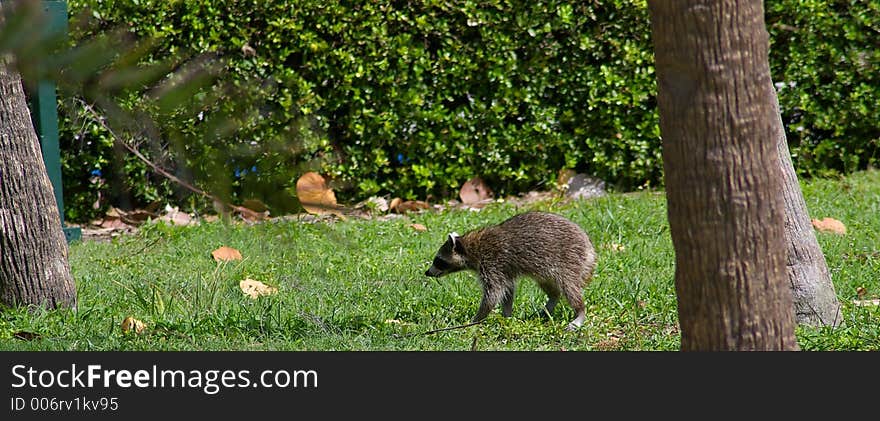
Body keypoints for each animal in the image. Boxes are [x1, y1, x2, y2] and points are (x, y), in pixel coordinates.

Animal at [426, 212, 600, 330]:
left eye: (438, 260)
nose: (427, 273)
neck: (471, 247)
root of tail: (590, 247)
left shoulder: (492, 263)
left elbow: (493, 294)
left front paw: (476, 319)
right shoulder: (504, 270)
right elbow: (508, 290)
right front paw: (507, 316)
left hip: (569, 260)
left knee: (570, 288)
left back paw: (580, 312)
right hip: (548, 270)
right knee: (551, 287)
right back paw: (551, 302)